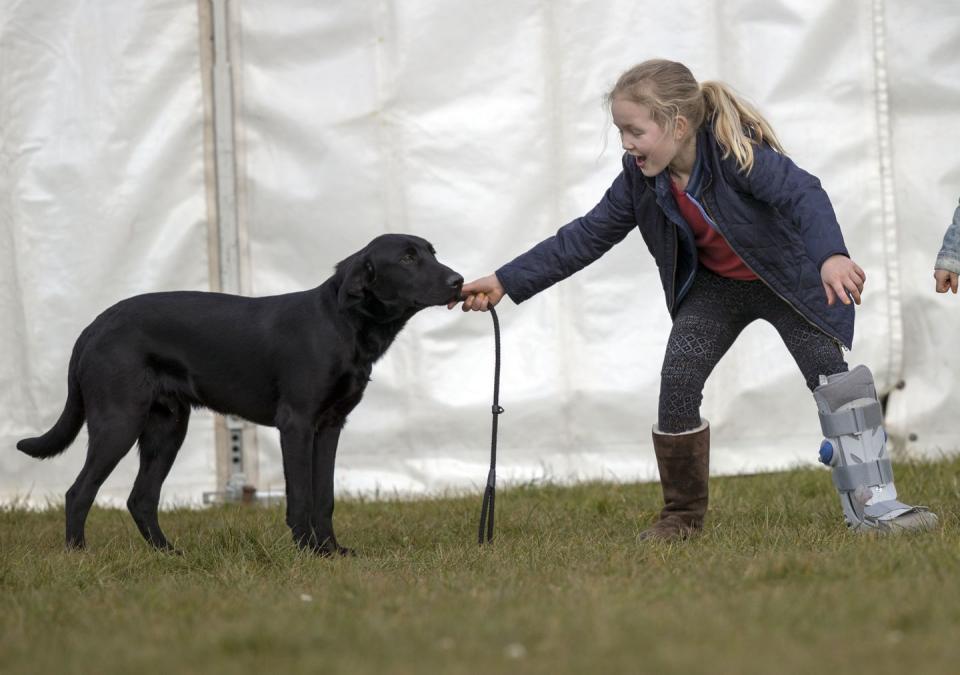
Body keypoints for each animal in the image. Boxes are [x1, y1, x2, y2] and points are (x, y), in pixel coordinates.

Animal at [16, 235, 462, 556]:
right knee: (79, 492)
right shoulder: (296, 423)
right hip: (118, 421)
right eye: (407, 258)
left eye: (431, 252)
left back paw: (169, 555)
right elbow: (301, 496)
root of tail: (96, 324)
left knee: (141, 498)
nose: (458, 281)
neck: (343, 324)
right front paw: (307, 553)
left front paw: (331, 551)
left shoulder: (330, 426)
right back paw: (79, 555)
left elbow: (325, 497)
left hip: (167, 428)